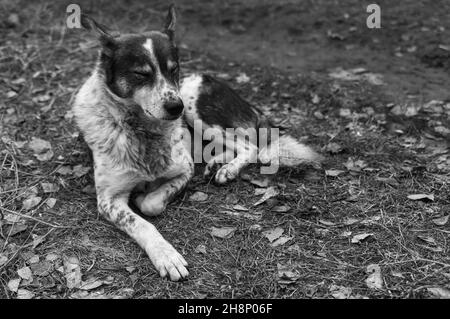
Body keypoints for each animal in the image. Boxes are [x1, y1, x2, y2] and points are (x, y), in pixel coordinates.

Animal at [72, 5, 322, 282]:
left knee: (250, 146)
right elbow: (142, 224)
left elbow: (151, 205)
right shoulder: (108, 199)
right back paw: (216, 163)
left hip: (196, 105)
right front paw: (166, 255)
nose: (175, 107)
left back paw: (227, 169)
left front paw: (147, 199)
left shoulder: (184, 169)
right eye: (140, 74)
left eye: (173, 69)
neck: (142, 130)